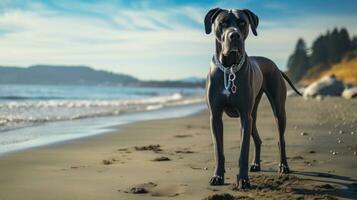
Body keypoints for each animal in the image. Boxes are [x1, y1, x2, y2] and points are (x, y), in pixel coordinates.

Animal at [203, 7, 300, 189]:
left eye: (242, 23)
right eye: (222, 23)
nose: (234, 36)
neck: (229, 68)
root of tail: (276, 66)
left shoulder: (244, 117)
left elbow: (243, 151)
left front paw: (243, 180)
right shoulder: (216, 117)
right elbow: (218, 150)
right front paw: (218, 176)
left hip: (277, 111)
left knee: (280, 139)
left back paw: (283, 166)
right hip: (252, 115)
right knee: (258, 139)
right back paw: (255, 164)